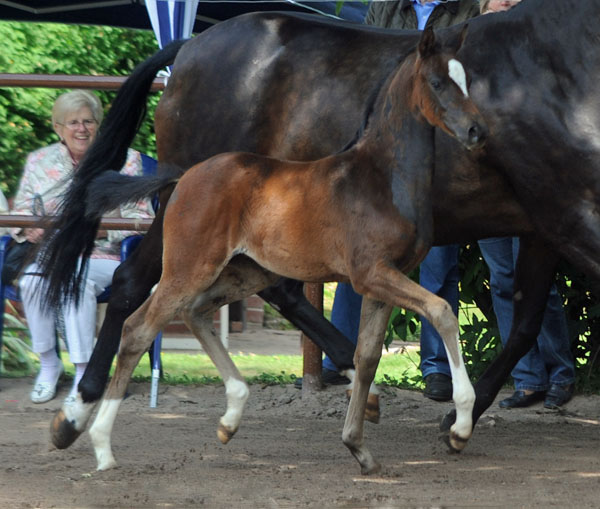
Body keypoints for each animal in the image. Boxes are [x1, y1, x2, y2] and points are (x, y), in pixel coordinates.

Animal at [84, 26, 486, 472]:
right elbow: (442, 311)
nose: (476, 131)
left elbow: (365, 358)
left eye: (466, 80)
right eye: (437, 82)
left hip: (246, 272)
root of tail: (185, 176)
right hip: (189, 267)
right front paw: (460, 427)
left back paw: (231, 416)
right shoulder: (371, 273)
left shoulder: (382, 281)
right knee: (138, 328)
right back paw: (101, 446)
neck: (383, 177)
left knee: (195, 312)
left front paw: (358, 447)